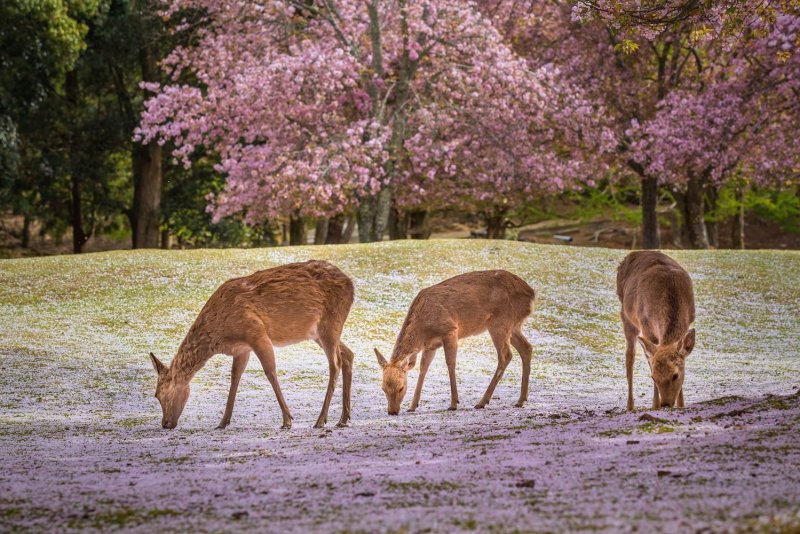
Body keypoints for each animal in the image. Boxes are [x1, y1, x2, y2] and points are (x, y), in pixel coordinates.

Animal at [148, 260, 355, 430]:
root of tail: (352, 286)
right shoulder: (241, 348)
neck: (220, 334)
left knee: (335, 363)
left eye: (158, 394)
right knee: (348, 354)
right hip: (318, 332)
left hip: (330, 322)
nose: (165, 423)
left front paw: (287, 420)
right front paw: (223, 422)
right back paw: (343, 418)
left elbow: (270, 371)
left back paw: (321, 420)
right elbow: (235, 377)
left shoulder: (256, 332)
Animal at [374, 270, 536, 415]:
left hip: (500, 322)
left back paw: (482, 402)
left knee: (506, 355)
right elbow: (423, 368)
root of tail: (531, 293)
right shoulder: (430, 345)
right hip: (513, 325)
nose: (392, 412)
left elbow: (450, 364)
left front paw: (453, 403)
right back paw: (521, 400)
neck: (423, 330)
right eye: (383, 388)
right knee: (526, 348)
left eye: (401, 387)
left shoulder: (450, 330)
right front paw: (413, 406)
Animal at [617, 250, 696, 411]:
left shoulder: (689, 320)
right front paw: (655, 405)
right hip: (627, 317)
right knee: (630, 356)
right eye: (653, 377)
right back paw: (630, 406)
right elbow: (650, 360)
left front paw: (681, 405)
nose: (665, 404)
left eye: (675, 375)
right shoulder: (646, 326)